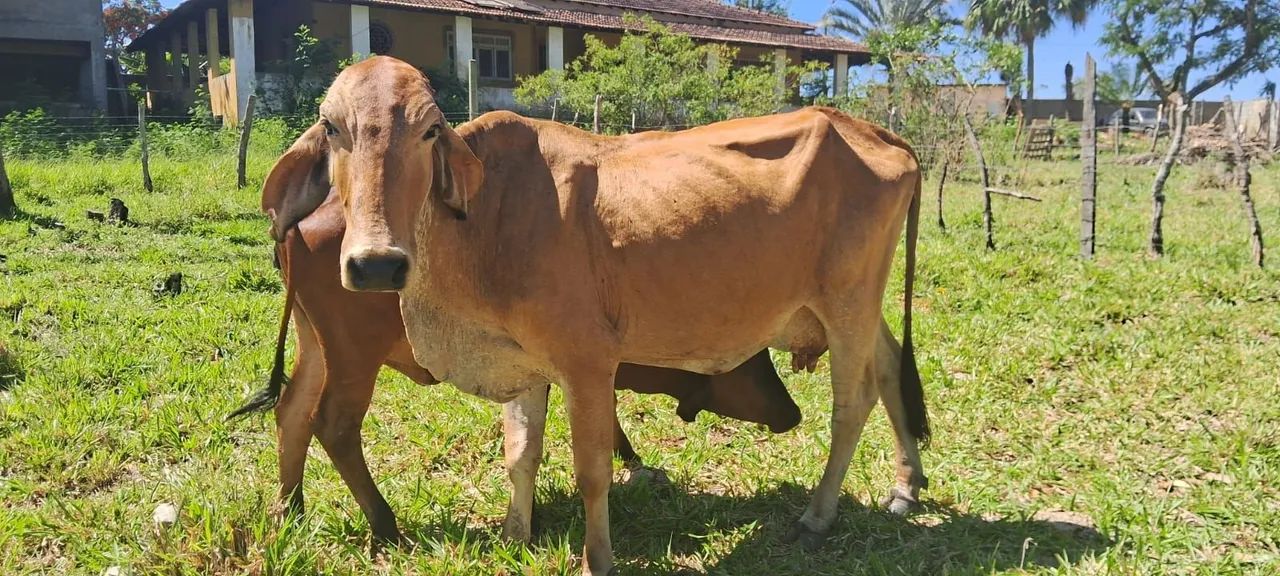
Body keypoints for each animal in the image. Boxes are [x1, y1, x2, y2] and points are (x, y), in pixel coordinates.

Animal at [261, 56, 928, 575]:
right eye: (331, 126)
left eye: (429, 131)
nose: (376, 265)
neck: (488, 222)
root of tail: (872, 129)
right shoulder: (524, 366)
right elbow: (520, 453)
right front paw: (516, 536)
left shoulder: (587, 364)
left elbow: (592, 470)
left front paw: (597, 558)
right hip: (857, 305)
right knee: (890, 366)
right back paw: (905, 485)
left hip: (848, 302)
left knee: (854, 401)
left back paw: (818, 516)